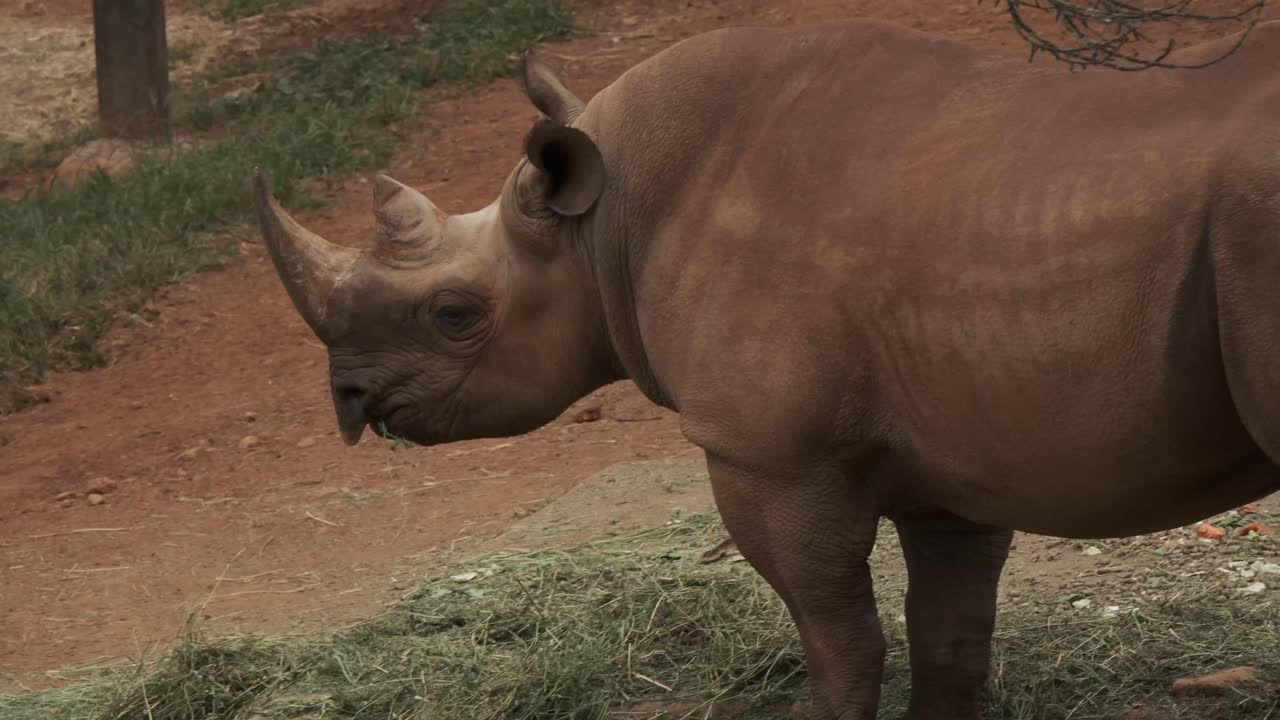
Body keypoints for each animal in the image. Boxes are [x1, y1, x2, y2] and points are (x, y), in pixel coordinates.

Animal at [253, 17, 1280, 720]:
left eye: (456, 315)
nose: (349, 399)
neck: (601, 226)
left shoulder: (771, 458)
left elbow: (840, 643)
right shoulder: (955, 457)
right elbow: (950, 637)